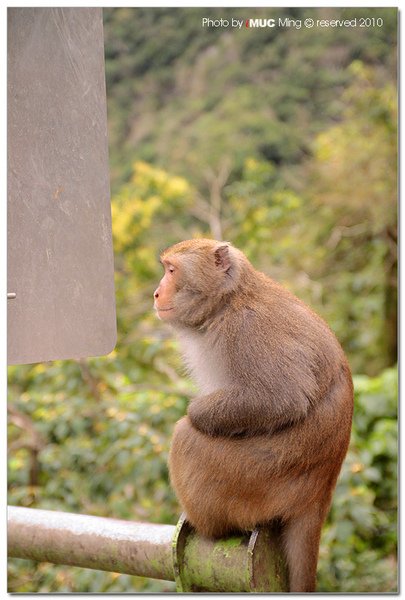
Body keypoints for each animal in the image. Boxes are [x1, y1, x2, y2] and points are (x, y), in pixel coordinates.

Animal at [153, 238, 352, 592]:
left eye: (172, 270)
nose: (156, 293)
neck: (228, 301)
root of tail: (319, 493)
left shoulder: (246, 329)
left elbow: (282, 398)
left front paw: (194, 411)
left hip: (254, 483)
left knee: (186, 438)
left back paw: (207, 525)